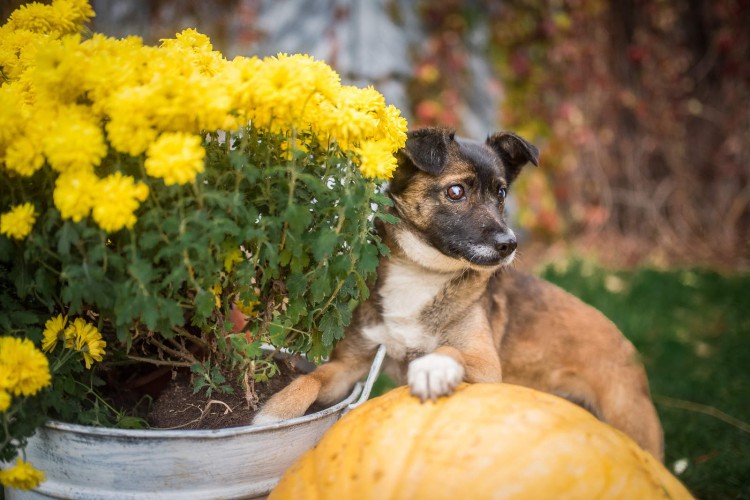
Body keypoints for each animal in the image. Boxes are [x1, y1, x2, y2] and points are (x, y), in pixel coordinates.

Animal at [251, 128, 664, 460]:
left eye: (501, 193)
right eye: (455, 191)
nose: (509, 245)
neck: (422, 274)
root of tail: (628, 346)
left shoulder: (487, 371)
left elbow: (451, 351)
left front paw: (435, 367)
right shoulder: (348, 368)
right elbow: (309, 380)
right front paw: (272, 413)